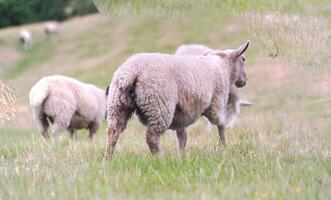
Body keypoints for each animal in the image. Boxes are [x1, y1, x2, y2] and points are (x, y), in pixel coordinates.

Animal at [106, 40, 252, 156]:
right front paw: (224, 146)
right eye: (244, 59)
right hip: (160, 106)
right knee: (151, 137)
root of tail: (132, 71)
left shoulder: (182, 114)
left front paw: (182, 156)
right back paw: (159, 159)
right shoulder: (216, 104)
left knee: (113, 132)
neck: (223, 67)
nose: (244, 81)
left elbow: (182, 136)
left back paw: (108, 158)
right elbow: (221, 125)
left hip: (117, 104)